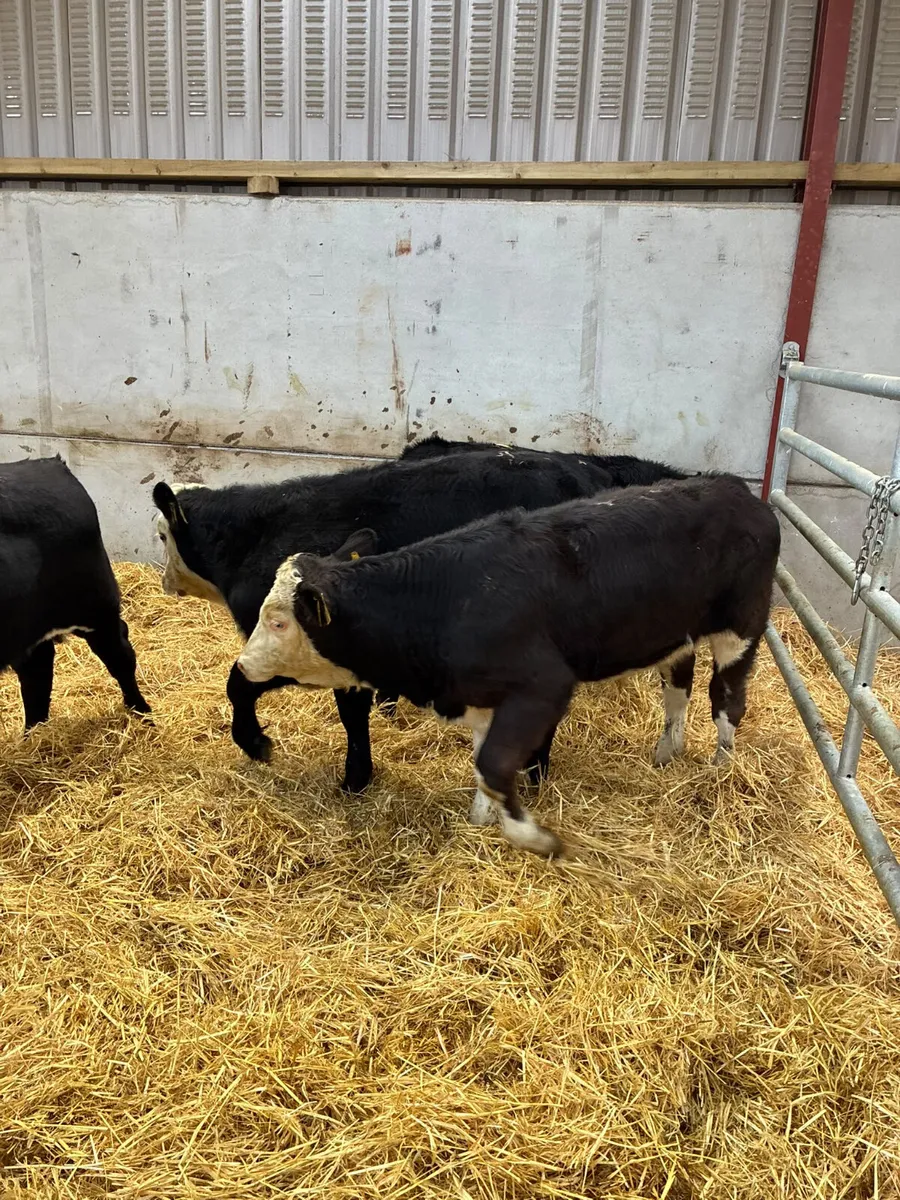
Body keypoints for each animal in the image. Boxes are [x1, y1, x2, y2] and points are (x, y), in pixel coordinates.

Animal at [235, 474, 780, 857]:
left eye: (279, 622)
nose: (242, 663)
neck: (441, 599)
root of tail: (740, 491)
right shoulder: (479, 698)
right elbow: (482, 766)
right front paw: (482, 822)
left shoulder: (544, 685)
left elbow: (495, 764)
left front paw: (533, 836)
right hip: (678, 636)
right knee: (677, 688)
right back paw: (668, 752)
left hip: (741, 630)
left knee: (727, 700)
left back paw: (722, 768)